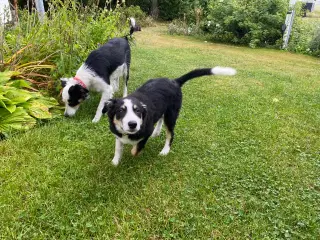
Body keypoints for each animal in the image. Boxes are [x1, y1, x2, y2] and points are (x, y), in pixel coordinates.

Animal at [101, 66, 236, 166]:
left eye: (137, 111)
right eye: (120, 111)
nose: (133, 124)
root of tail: (174, 81)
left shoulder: (147, 130)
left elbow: (136, 148)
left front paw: (135, 151)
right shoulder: (117, 133)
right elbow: (118, 148)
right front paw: (115, 162)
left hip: (171, 114)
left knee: (171, 134)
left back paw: (165, 150)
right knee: (161, 118)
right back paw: (157, 132)